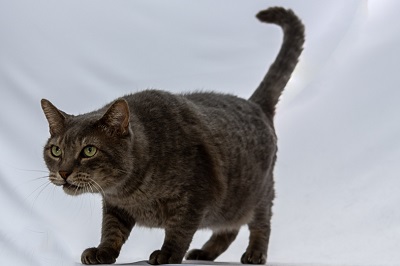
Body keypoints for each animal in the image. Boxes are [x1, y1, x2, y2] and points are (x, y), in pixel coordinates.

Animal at [41, 6, 304, 266]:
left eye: (89, 150)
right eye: (56, 150)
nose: (63, 172)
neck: (130, 190)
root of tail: (255, 103)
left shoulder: (194, 197)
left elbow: (179, 229)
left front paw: (166, 254)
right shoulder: (114, 205)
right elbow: (111, 229)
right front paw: (102, 251)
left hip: (258, 192)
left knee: (261, 223)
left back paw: (254, 254)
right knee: (229, 228)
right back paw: (204, 253)